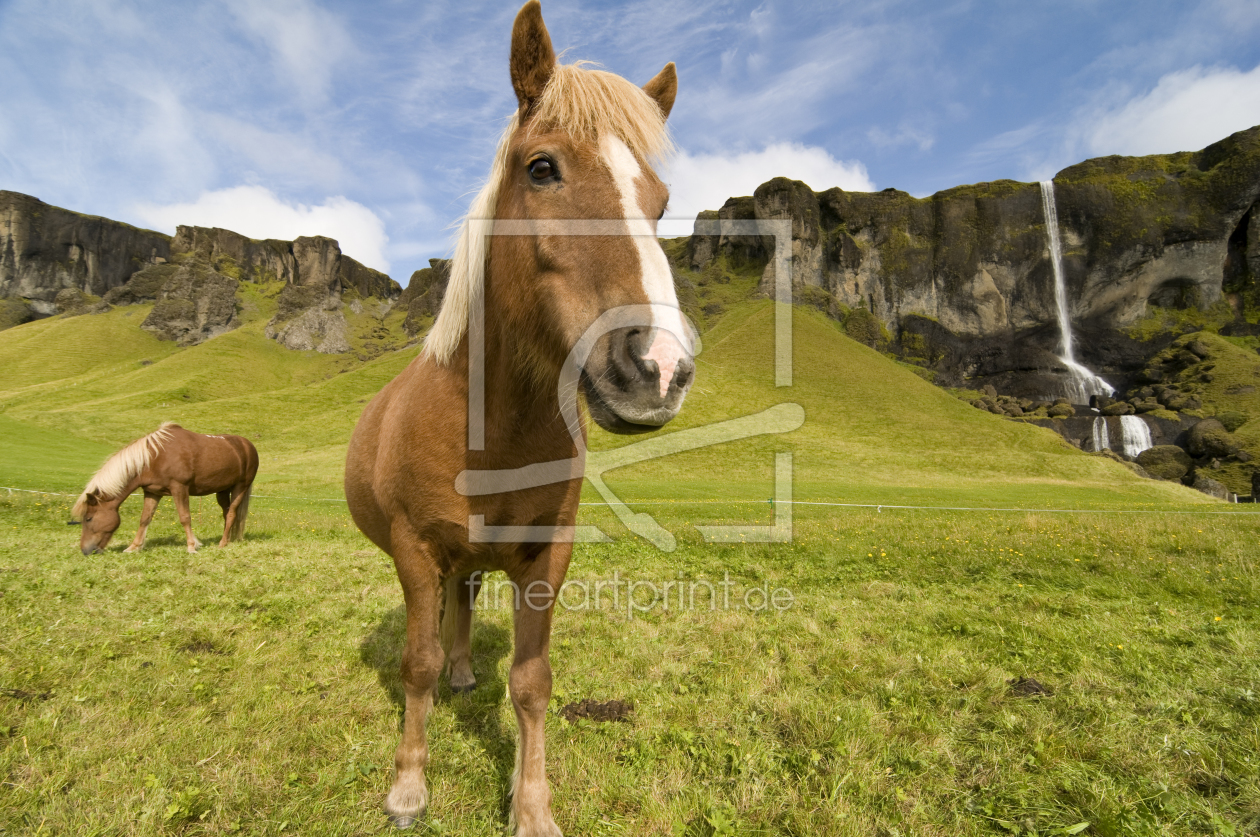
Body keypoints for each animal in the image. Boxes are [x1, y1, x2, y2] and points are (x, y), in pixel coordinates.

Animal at [72, 426, 258, 554]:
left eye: (88, 518)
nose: (85, 550)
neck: (154, 458)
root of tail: (248, 445)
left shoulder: (179, 488)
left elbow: (185, 517)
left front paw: (192, 546)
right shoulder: (152, 492)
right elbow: (144, 519)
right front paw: (134, 547)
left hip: (240, 487)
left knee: (232, 513)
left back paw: (222, 543)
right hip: (222, 490)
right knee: (227, 513)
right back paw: (227, 539)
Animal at [345, 3, 695, 831]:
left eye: (661, 202)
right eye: (542, 168)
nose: (658, 366)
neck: (489, 429)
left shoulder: (545, 559)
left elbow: (532, 680)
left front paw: (531, 804)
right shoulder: (414, 549)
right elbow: (414, 663)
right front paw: (408, 782)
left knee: (466, 604)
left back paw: (466, 670)